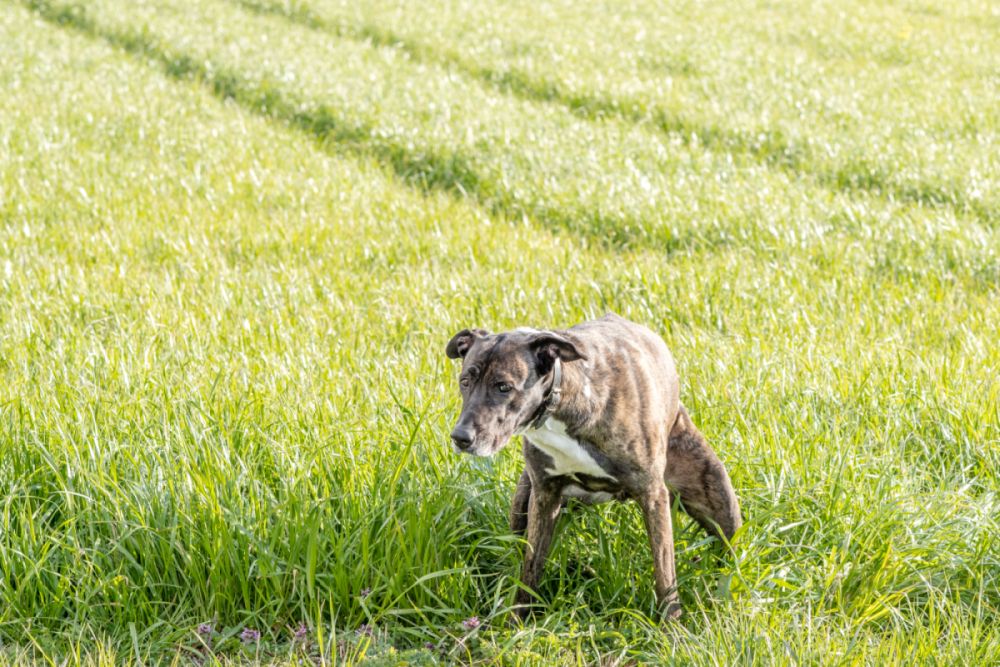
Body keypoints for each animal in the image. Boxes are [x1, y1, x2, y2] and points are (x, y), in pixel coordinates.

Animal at [446, 314, 744, 620]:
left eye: (504, 386)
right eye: (465, 381)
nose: (461, 437)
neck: (561, 401)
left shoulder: (652, 496)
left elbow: (665, 574)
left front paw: (671, 624)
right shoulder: (544, 496)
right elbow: (530, 568)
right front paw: (518, 620)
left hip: (719, 504)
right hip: (523, 501)